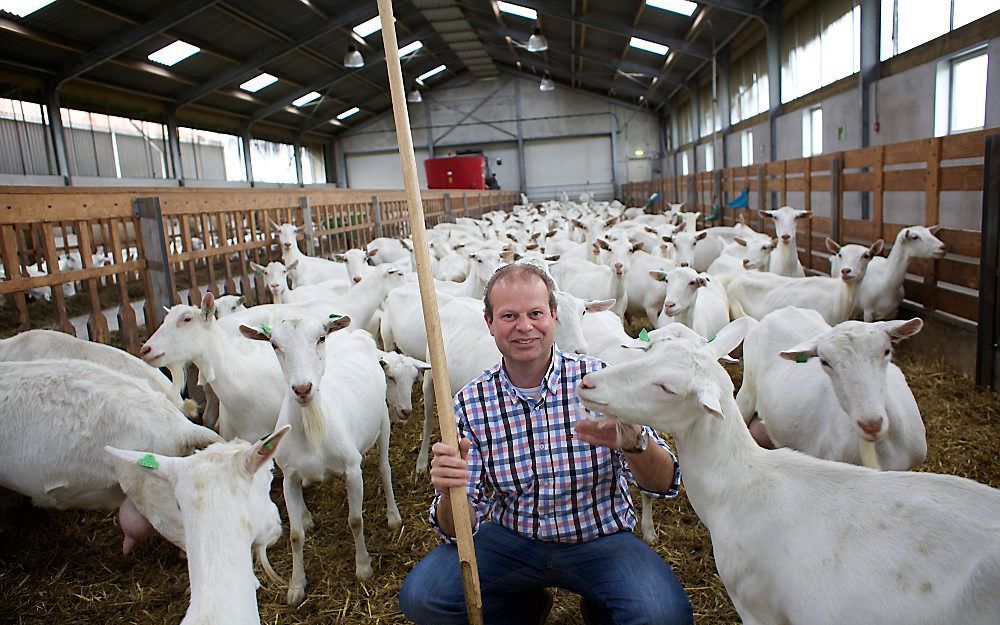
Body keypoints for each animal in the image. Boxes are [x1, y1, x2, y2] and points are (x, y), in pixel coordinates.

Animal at [240, 316, 400, 604]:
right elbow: (294, 536)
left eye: (321, 338)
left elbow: (355, 520)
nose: (302, 388)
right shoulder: (289, 477)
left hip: (383, 419)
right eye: (274, 344)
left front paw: (363, 567)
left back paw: (393, 515)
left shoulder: (351, 468)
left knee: (385, 467)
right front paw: (295, 586)